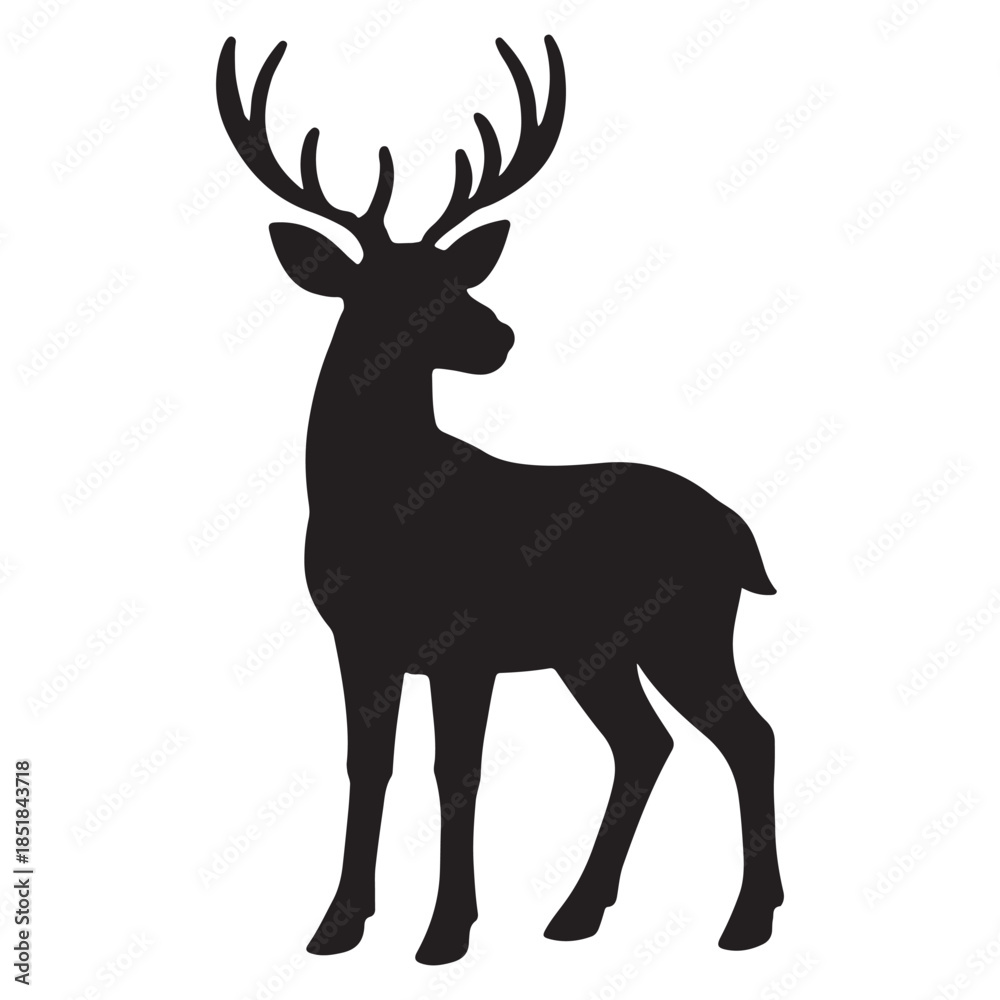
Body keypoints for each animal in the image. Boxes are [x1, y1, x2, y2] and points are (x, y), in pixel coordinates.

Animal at [216, 33, 783, 965]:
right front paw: (338, 924)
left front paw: (446, 932)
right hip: (597, 652)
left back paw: (747, 921)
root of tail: (743, 536)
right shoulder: (358, 640)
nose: (498, 335)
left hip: (687, 627)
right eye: (384, 290)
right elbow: (368, 765)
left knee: (748, 734)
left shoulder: (463, 643)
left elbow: (458, 773)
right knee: (647, 744)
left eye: (455, 277)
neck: (381, 513)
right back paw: (579, 912)